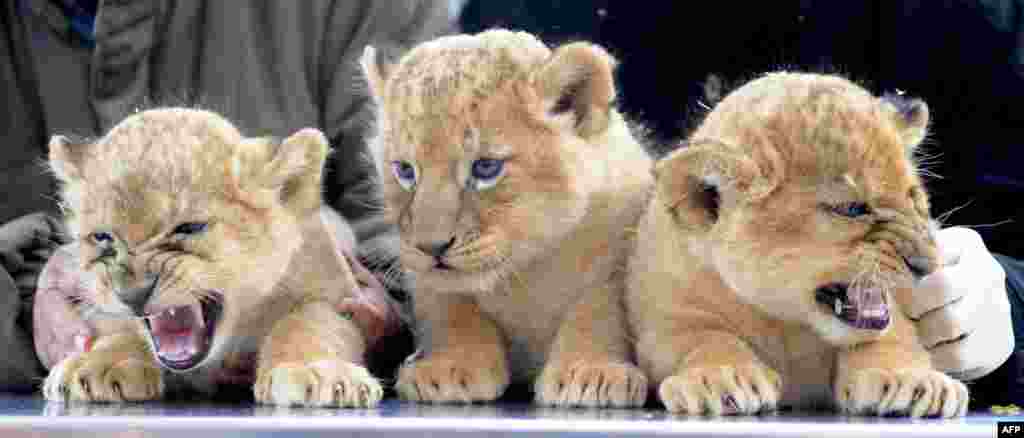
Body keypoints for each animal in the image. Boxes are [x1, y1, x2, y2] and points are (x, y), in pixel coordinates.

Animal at [40, 108, 383, 407]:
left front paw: (318, 372)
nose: (132, 295)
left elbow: (311, 323)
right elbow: (117, 327)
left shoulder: (337, 297)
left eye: (189, 227)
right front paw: (97, 367)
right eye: (102, 237)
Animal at [358, 29, 653, 407]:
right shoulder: (427, 279)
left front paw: (589, 372)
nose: (431, 247)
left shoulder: (617, 259)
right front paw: (449, 368)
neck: (526, 273)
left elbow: (597, 310)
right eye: (405, 171)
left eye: (486, 167)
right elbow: (450, 307)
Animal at [625, 72, 969, 418]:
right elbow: (701, 337)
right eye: (852, 209)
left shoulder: (889, 315)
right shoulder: (664, 318)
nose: (927, 266)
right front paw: (724, 375)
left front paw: (909, 379)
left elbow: (892, 337)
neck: (786, 324)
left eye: (912, 196)